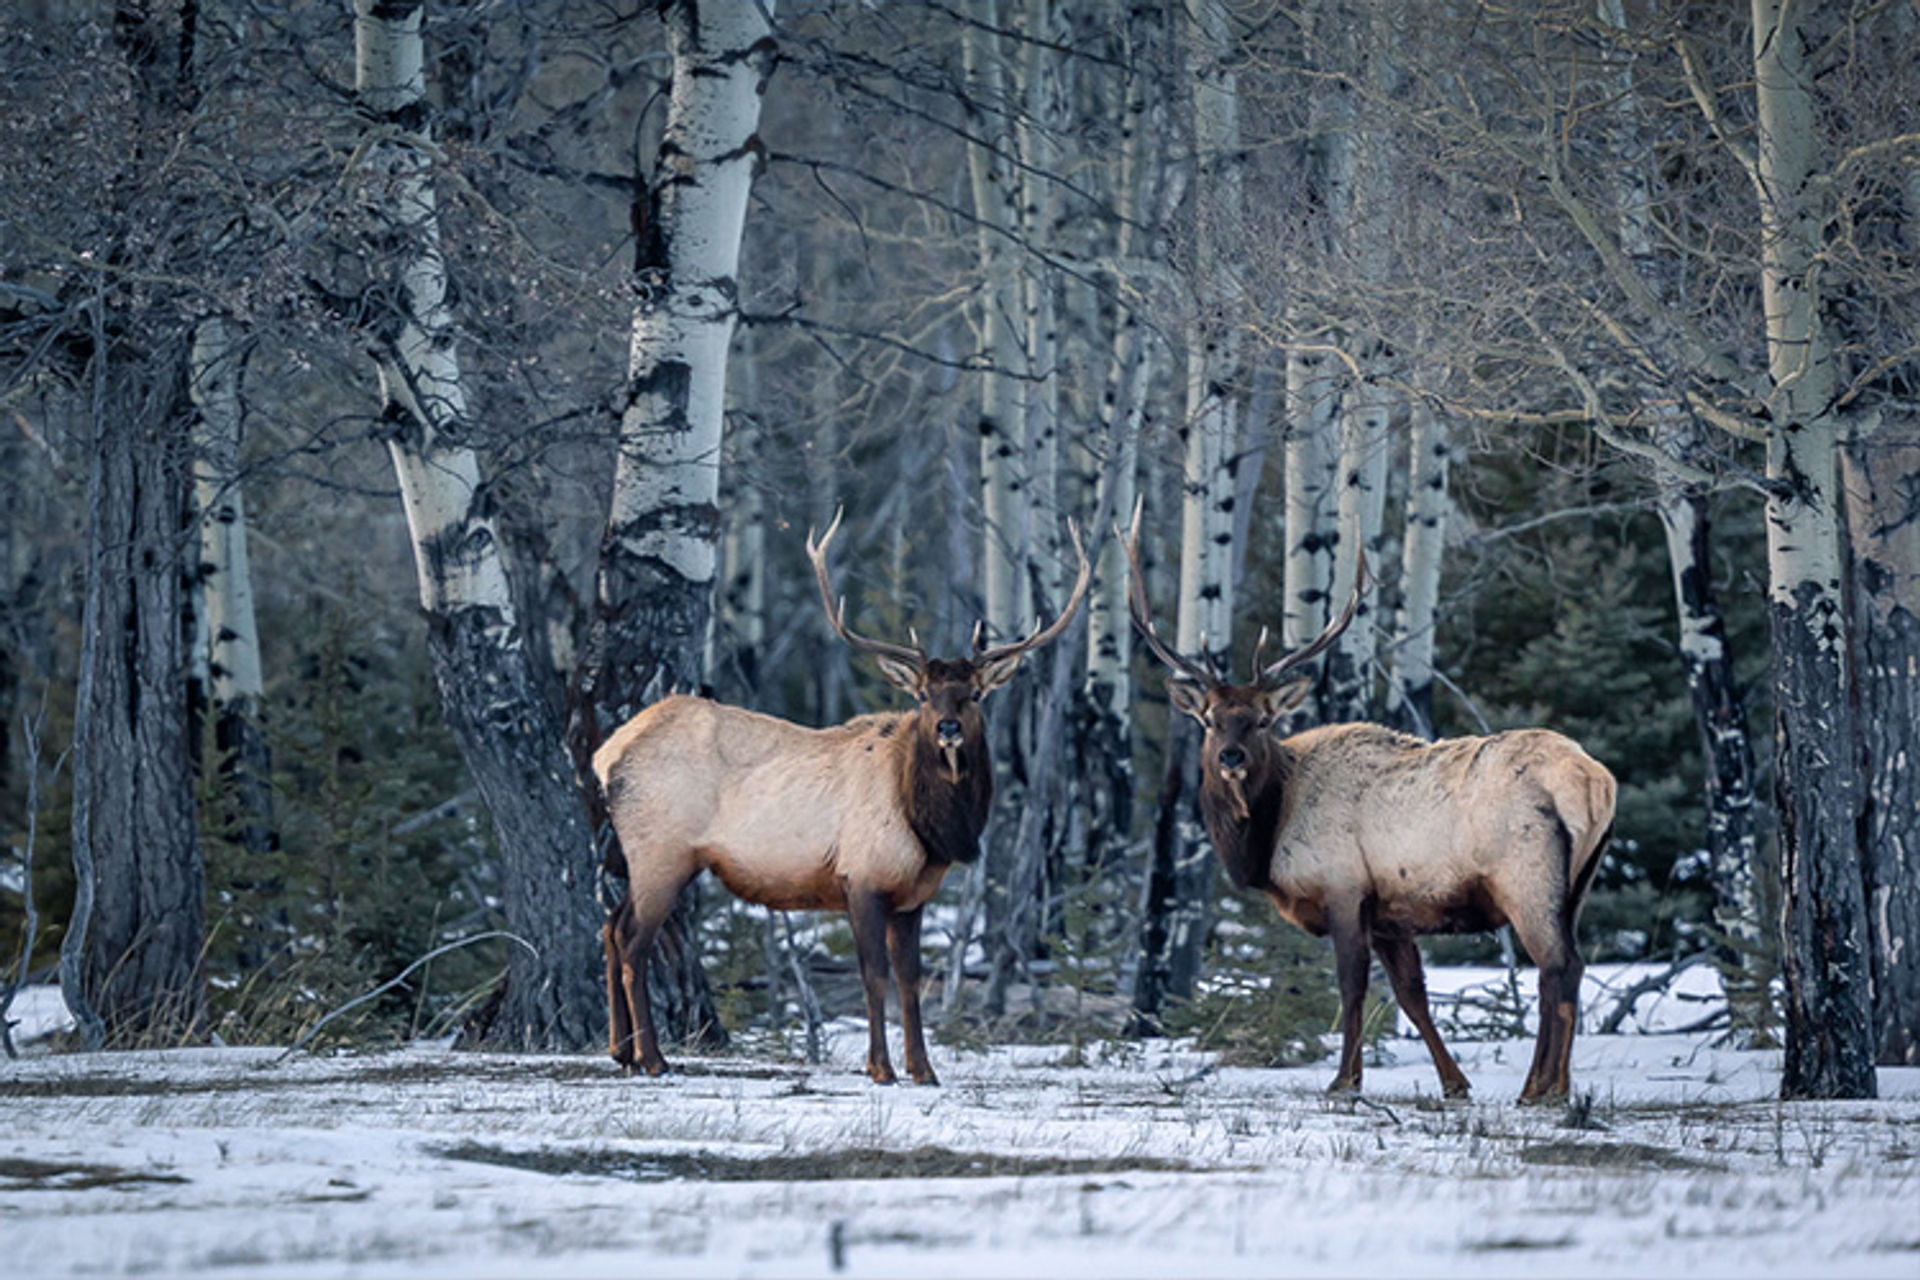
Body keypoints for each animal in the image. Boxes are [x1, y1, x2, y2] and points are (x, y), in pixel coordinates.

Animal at [591, 510, 1090, 1082]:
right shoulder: (862, 877)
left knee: (610, 924)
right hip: (662, 851)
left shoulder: (913, 895)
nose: (947, 728)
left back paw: (620, 1049)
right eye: (923, 694)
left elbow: (911, 979)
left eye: (974, 695)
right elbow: (874, 975)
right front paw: (881, 1067)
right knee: (633, 938)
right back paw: (652, 1057)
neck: (932, 830)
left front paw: (924, 1068)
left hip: (649, 856)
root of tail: (606, 754)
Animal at [1121, 510, 1612, 1105]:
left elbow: (1353, 987)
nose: (1231, 757)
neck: (1266, 840)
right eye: (1211, 720)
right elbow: (1411, 995)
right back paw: (1547, 1086)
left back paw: (1543, 1088)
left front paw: (1344, 1080)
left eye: (1261, 719)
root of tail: (1596, 782)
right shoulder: (1391, 914)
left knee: (1557, 967)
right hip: (1578, 883)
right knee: (1566, 968)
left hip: (1526, 875)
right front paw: (1454, 1083)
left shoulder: (1344, 886)